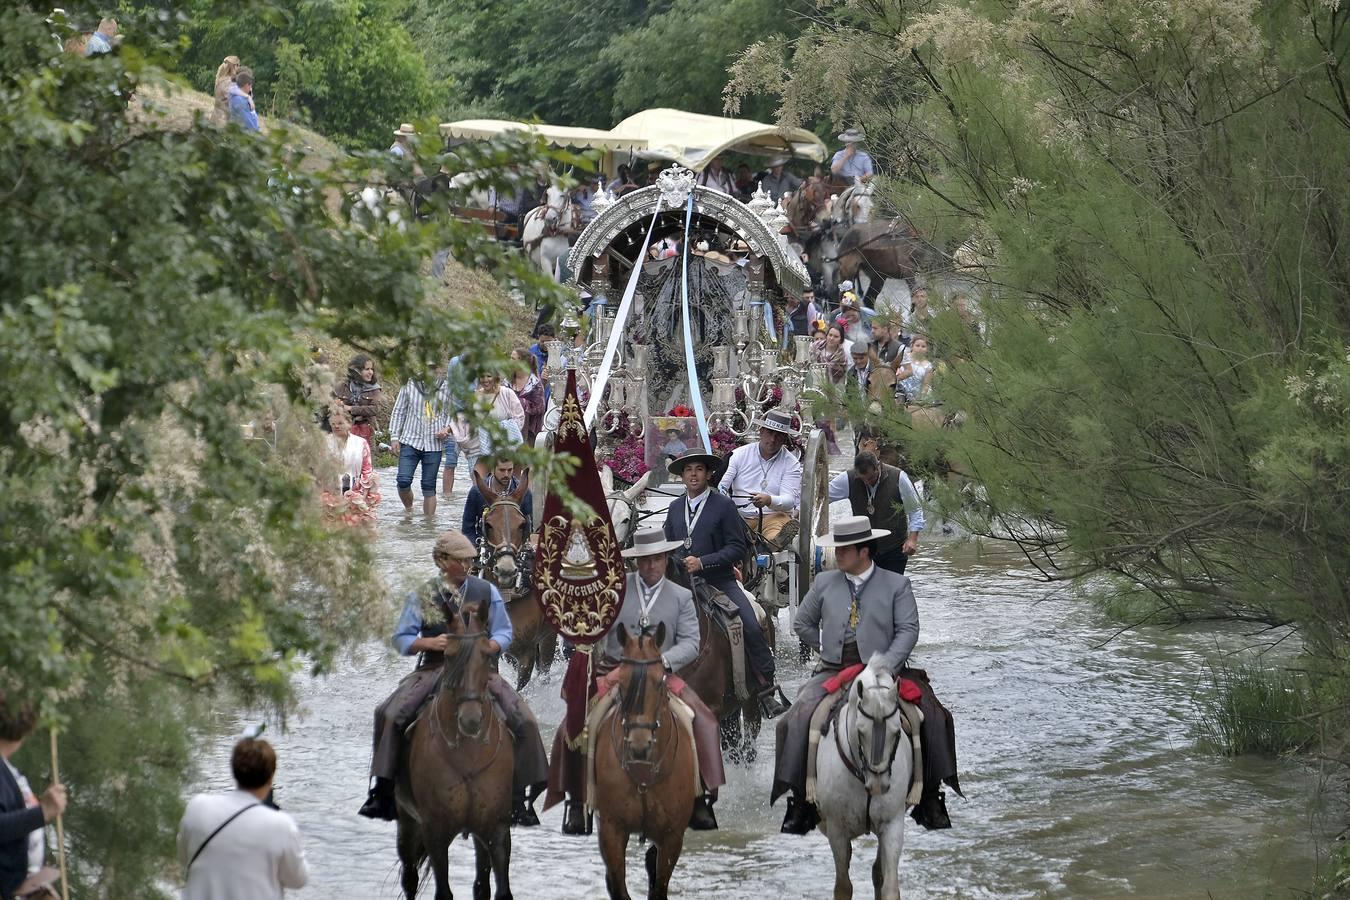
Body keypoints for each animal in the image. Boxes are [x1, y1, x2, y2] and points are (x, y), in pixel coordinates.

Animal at [394, 599, 515, 900]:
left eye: (486, 654)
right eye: (448, 656)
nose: (470, 720)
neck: (468, 756)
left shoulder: (496, 828)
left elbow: (500, 890)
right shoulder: (435, 831)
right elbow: (443, 892)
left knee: (481, 884)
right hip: (407, 821)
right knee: (410, 878)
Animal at [475, 472, 558, 690]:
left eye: (522, 525)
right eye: (488, 524)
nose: (506, 569)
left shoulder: (527, 654)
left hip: (548, 636)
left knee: (545, 668)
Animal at [596, 623, 696, 900]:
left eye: (660, 680)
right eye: (621, 681)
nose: (639, 746)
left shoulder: (672, 836)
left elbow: (659, 886)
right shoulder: (611, 830)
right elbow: (619, 886)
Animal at [810, 655, 918, 900]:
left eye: (897, 731)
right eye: (860, 731)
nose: (879, 785)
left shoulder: (892, 824)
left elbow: (890, 886)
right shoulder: (837, 831)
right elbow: (843, 886)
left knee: (878, 872)